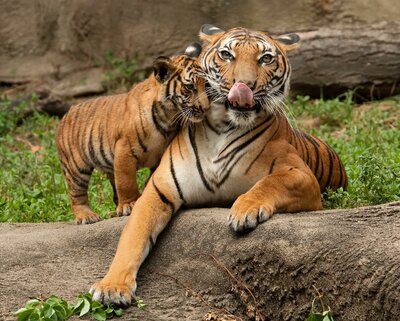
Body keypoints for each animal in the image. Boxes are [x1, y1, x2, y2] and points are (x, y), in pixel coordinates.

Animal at [57, 55, 211, 224]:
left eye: (206, 85)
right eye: (189, 87)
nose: (206, 108)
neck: (168, 117)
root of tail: (66, 114)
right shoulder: (125, 150)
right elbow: (126, 182)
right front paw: (129, 205)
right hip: (76, 168)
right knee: (77, 194)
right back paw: (87, 216)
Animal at [89, 25, 346, 304]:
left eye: (265, 58)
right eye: (226, 55)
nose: (244, 85)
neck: (223, 127)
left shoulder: (300, 174)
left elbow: (269, 182)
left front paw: (244, 210)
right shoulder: (159, 190)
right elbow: (133, 236)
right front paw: (112, 287)